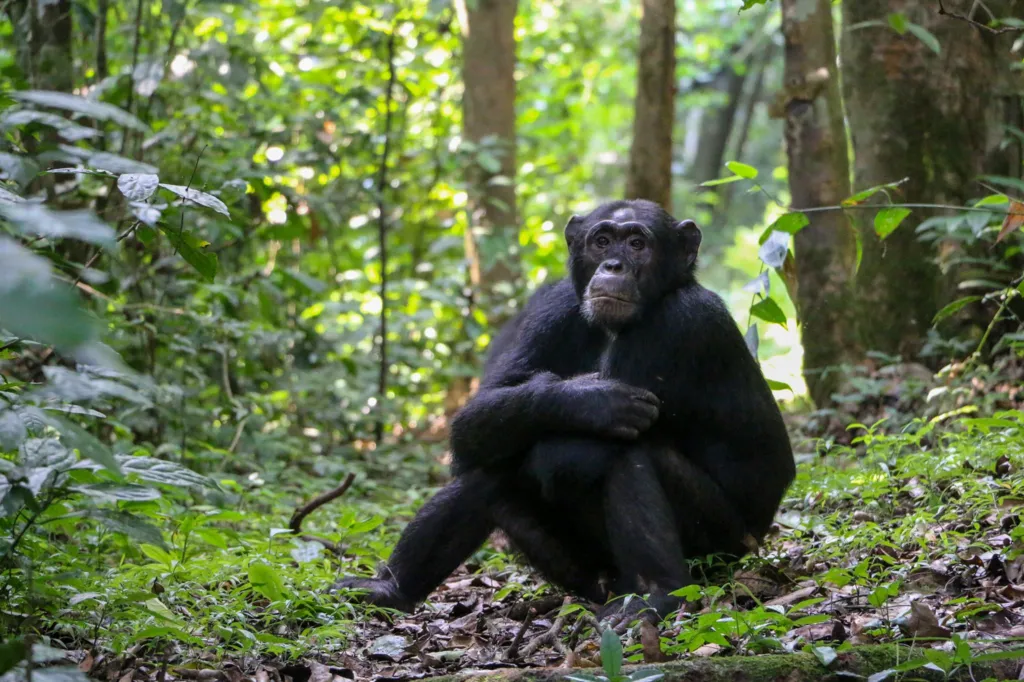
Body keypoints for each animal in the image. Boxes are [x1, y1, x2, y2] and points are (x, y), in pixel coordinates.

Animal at [331, 197, 794, 622]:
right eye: (602, 241)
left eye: (638, 243)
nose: (612, 266)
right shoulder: (552, 307)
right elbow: (476, 417)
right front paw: (587, 398)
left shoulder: (680, 322)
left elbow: (582, 447)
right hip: (583, 574)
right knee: (492, 465)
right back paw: (389, 590)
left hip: (720, 547)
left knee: (617, 452)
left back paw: (658, 594)